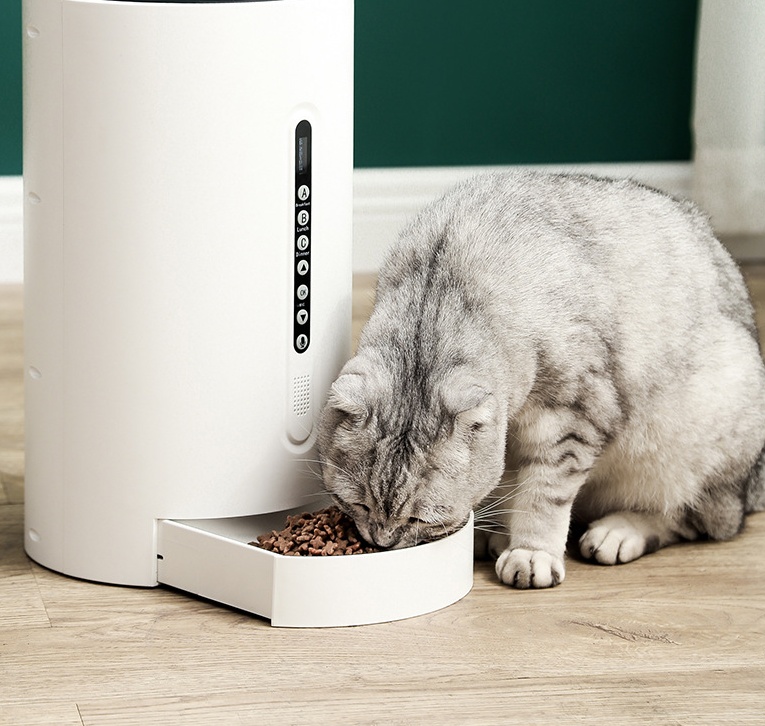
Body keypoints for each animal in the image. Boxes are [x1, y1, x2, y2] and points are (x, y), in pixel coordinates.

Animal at [316, 172, 764, 592]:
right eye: (355, 504)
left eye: (420, 518)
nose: (382, 541)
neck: (438, 282)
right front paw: (498, 532)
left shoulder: (571, 417)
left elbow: (544, 493)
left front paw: (531, 552)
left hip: (694, 439)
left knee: (698, 519)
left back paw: (618, 532)